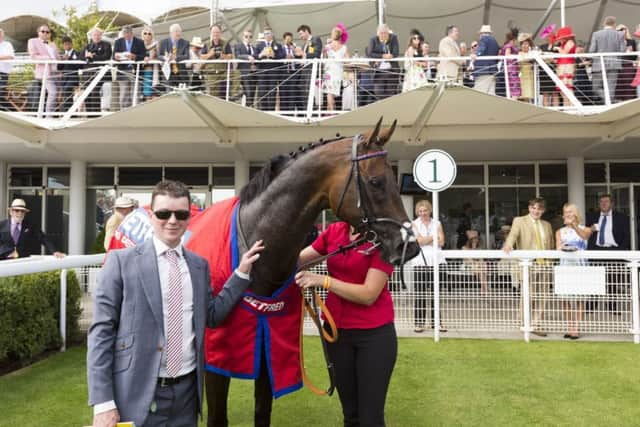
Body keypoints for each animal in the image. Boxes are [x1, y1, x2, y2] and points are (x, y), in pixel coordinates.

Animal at [202, 118, 418, 427]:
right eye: (376, 182)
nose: (408, 245)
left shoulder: (269, 348)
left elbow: (262, 411)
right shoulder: (215, 362)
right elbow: (217, 417)